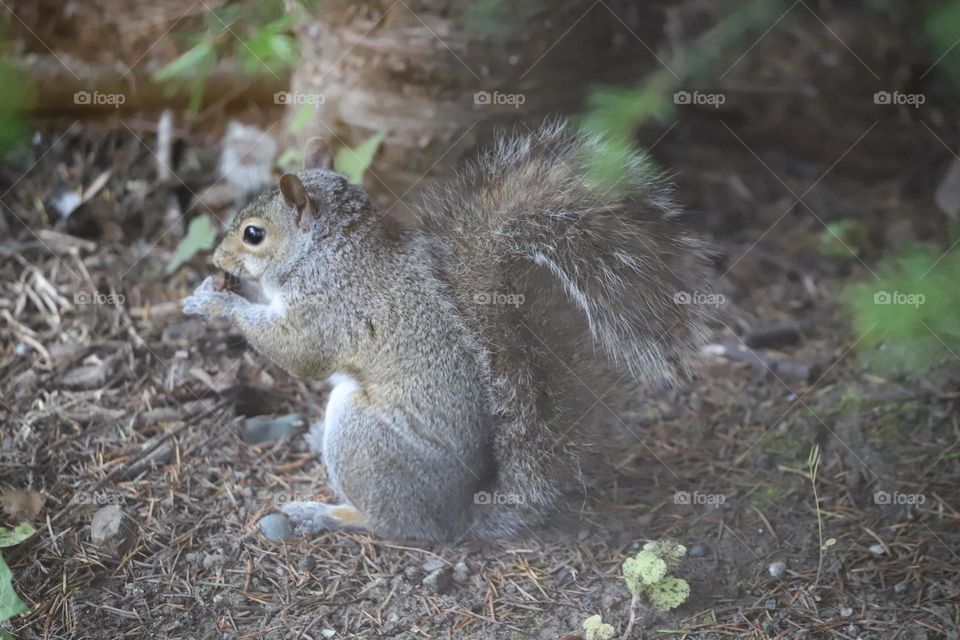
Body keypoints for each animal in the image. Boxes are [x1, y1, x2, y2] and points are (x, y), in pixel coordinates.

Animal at [186, 120, 712, 540]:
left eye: (254, 233)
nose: (217, 259)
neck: (331, 250)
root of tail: (460, 514)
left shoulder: (328, 307)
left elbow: (297, 351)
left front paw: (217, 301)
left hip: (363, 440)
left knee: (397, 526)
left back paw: (327, 513)